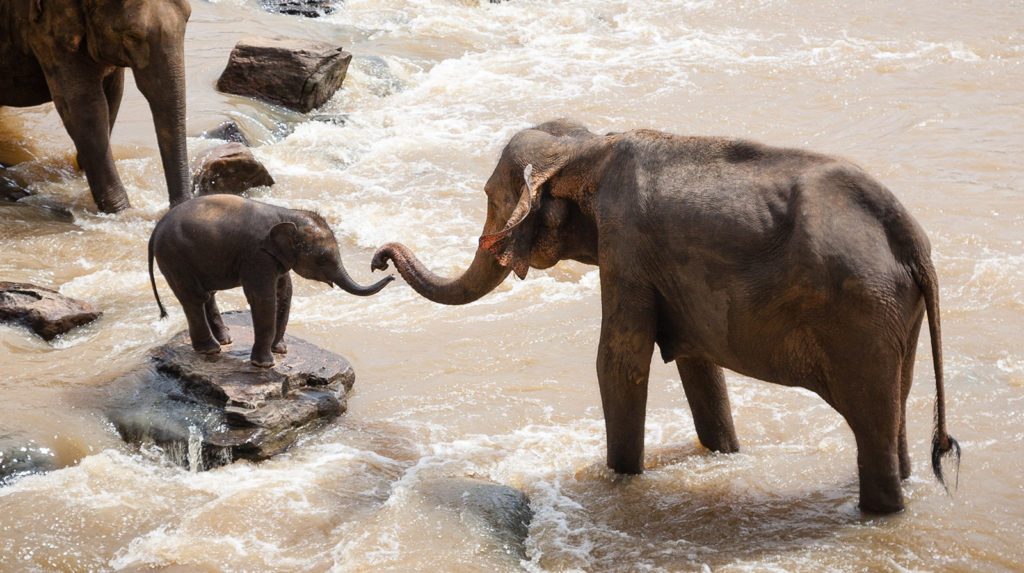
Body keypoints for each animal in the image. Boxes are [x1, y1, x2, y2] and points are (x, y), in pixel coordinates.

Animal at [0, 0, 191, 212]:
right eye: (132, 35)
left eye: (188, 17)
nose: (176, 207)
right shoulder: (48, 30)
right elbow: (85, 107)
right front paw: (120, 212)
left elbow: (113, 95)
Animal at [149, 194, 393, 366]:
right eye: (322, 259)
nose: (386, 269)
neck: (287, 214)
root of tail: (155, 230)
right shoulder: (257, 256)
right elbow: (263, 299)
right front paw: (265, 364)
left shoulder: (277, 257)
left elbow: (284, 292)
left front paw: (280, 350)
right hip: (174, 257)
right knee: (194, 297)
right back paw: (211, 349)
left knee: (207, 294)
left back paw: (225, 340)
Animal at [374, 118, 958, 511]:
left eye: (492, 198)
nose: (379, 259)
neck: (587, 148)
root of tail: (913, 241)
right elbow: (700, 366)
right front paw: (724, 454)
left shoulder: (626, 249)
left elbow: (618, 362)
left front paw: (620, 481)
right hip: (893, 316)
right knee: (895, 408)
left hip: (861, 315)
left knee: (871, 421)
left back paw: (879, 512)